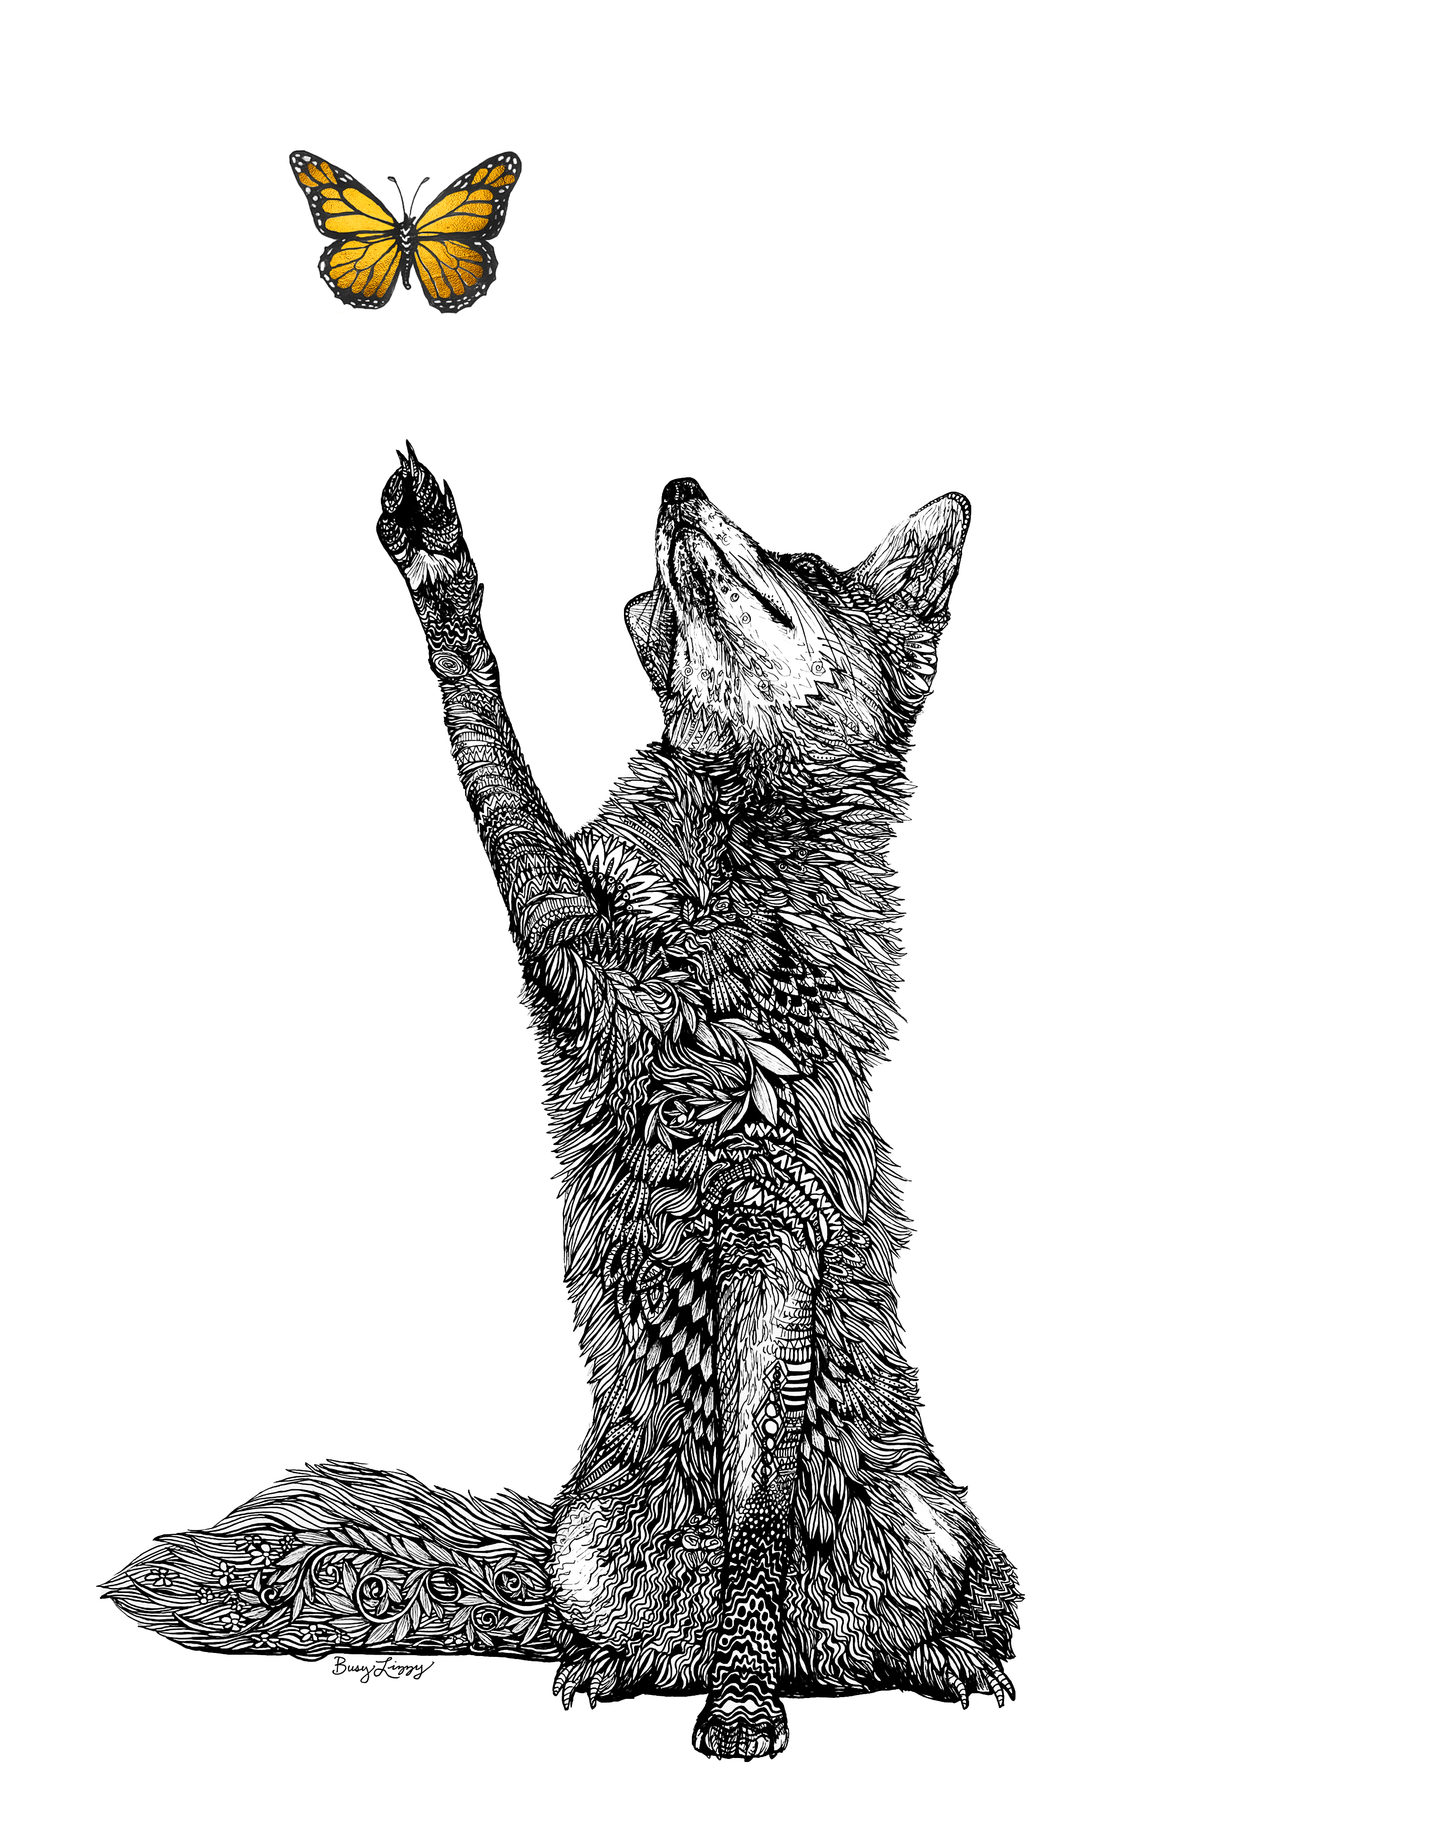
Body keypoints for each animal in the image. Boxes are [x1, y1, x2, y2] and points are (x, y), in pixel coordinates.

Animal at [105, 449, 1021, 1759]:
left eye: (794, 562)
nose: (678, 483)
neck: (714, 934)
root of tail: (826, 1666)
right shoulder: (556, 933)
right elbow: (493, 755)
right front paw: (439, 576)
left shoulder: (774, 1232)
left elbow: (755, 1516)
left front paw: (742, 1710)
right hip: (584, 1555)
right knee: (619, 1637)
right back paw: (610, 1667)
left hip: (938, 1525)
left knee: (957, 1606)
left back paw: (932, 1660)